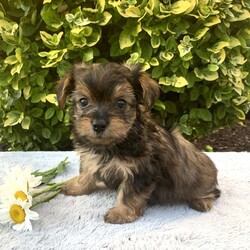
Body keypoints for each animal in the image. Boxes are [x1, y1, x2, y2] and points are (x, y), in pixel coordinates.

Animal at [56, 61, 221, 224]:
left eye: (121, 103)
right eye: (83, 101)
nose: (98, 125)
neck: (115, 143)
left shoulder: (140, 171)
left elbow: (129, 193)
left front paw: (121, 213)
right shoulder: (90, 158)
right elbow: (86, 173)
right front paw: (77, 187)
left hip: (202, 177)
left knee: (210, 191)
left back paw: (201, 201)